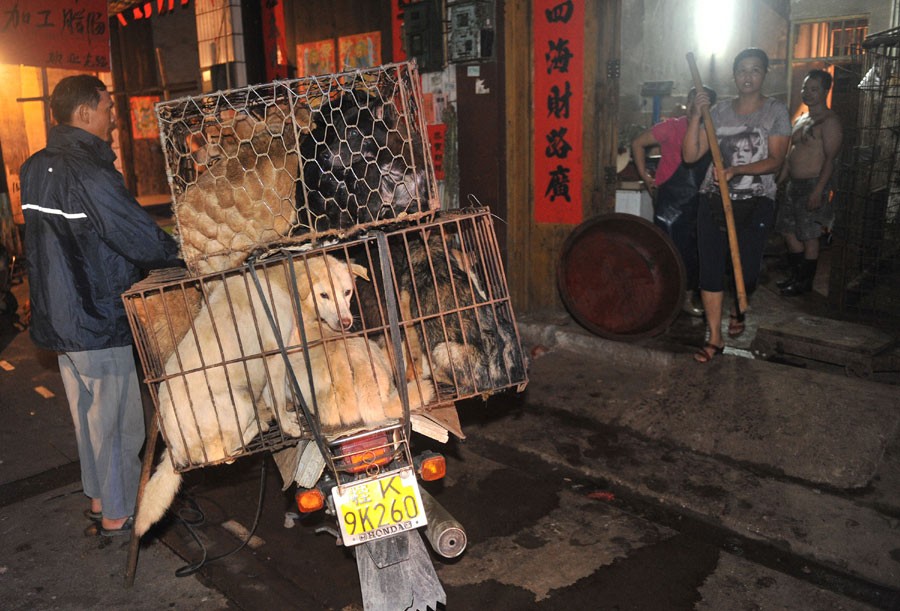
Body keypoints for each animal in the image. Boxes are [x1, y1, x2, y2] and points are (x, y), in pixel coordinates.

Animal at [134, 252, 366, 536]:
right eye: (323, 295)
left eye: (347, 292)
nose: (346, 323)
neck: (280, 281)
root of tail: (175, 447)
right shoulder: (275, 355)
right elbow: (277, 399)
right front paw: (288, 425)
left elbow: (271, 395)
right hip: (239, 400)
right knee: (221, 456)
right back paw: (259, 424)